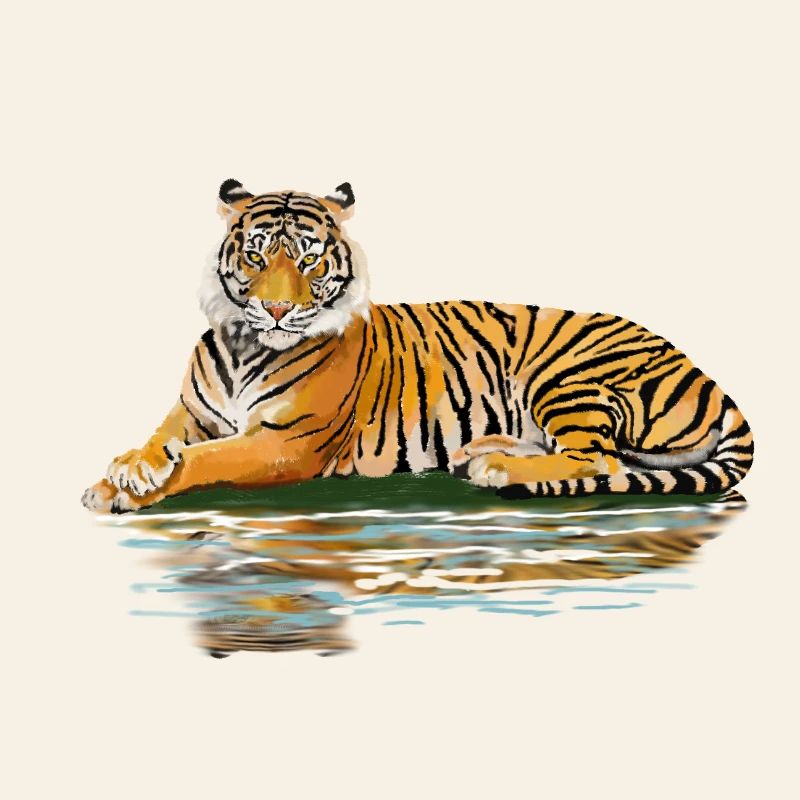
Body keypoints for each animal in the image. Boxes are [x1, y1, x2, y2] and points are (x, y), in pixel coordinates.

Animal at [81, 179, 754, 513]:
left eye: (307, 258)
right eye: (255, 255)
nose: (276, 309)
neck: (246, 343)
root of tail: (705, 374)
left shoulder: (285, 444)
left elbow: (205, 459)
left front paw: (132, 489)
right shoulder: (191, 413)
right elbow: (162, 440)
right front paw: (123, 471)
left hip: (567, 376)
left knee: (600, 462)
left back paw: (497, 469)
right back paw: (483, 451)